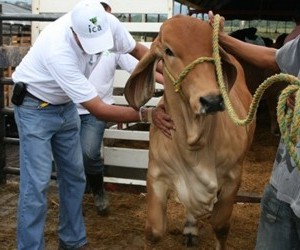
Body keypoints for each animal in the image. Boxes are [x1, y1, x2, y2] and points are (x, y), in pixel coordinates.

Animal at [124, 14, 255, 249]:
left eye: (213, 49)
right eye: (168, 51)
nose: (211, 100)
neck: (194, 143)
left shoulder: (233, 178)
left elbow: (220, 226)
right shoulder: (156, 174)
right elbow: (153, 231)